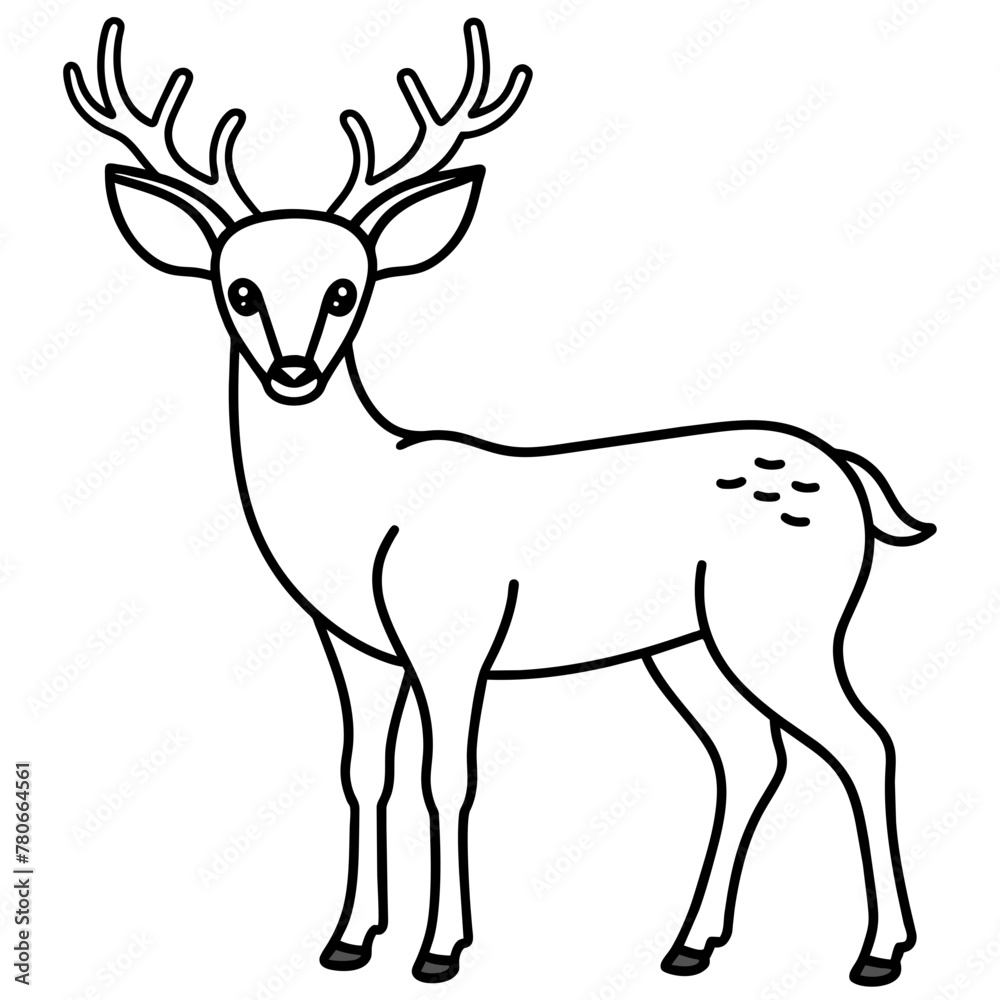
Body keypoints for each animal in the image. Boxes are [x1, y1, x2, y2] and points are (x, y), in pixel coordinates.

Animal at [65, 16, 935, 987]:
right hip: (686, 644)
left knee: (866, 741)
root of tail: (847, 471)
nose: (294, 370)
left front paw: (440, 949)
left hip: (788, 618)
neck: (358, 508)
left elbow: (449, 777)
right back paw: (690, 945)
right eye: (239, 289)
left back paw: (879, 953)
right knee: (751, 755)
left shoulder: (455, 631)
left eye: (347, 290)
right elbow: (363, 772)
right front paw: (348, 940)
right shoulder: (354, 646)